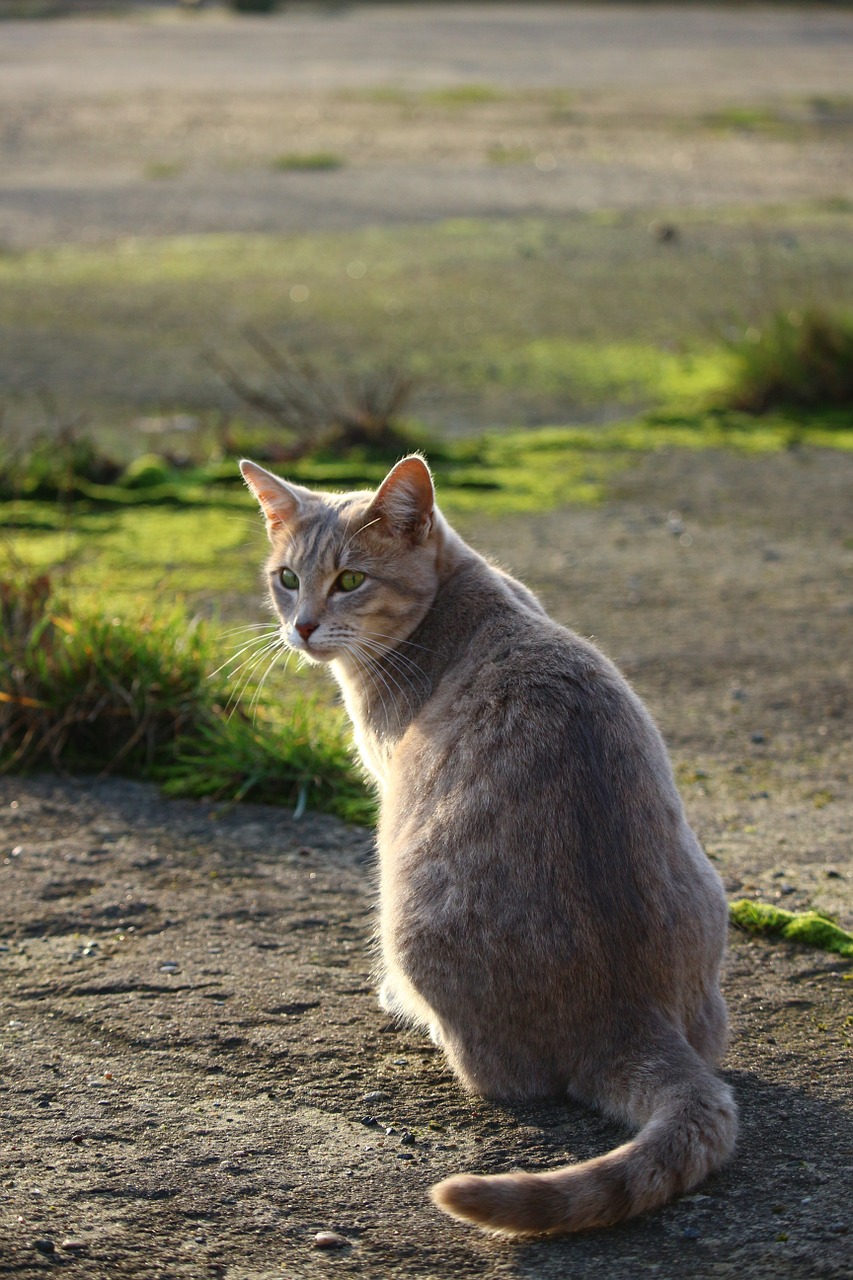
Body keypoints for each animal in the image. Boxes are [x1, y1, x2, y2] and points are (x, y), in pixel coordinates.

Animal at [240, 455, 737, 1233]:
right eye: (287, 578)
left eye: (350, 580)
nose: (303, 627)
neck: (461, 595)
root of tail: (629, 1015)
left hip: (406, 910)